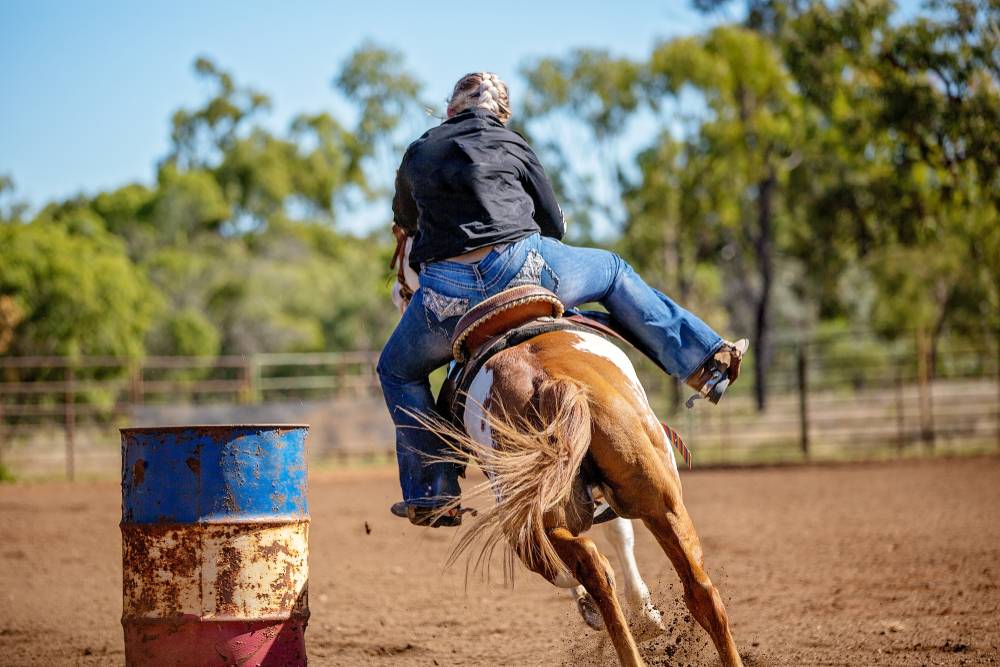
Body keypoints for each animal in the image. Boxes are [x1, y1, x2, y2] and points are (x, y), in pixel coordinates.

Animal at [390, 232, 744, 664]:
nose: (399, 295)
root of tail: (554, 383)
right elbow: (616, 538)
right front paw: (644, 616)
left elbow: (595, 551)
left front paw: (629, 613)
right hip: (661, 500)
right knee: (694, 590)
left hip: (537, 515)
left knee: (588, 565)